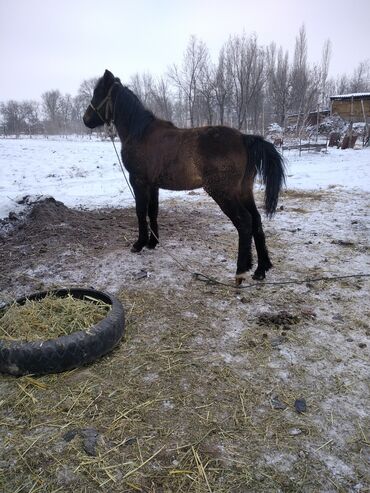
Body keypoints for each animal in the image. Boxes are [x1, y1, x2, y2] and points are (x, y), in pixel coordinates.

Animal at [84, 69, 286, 284]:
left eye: (97, 93)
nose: (85, 119)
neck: (140, 132)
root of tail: (244, 138)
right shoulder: (153, 185)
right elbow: (153, 211)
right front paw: (152, 243)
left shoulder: (138, 182)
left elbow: (140, 211)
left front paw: (139, 244)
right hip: (244, 191)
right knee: (256, 220)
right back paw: (260, 269)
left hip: (224, 194)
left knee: (245, 222)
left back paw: (240, 271)